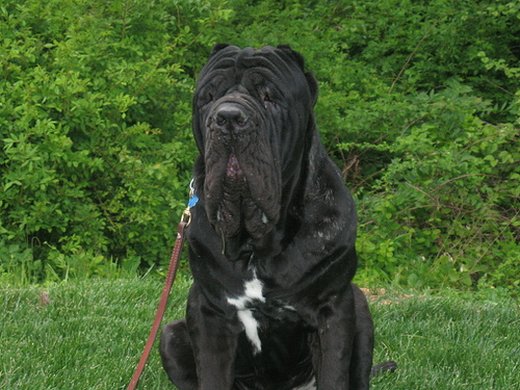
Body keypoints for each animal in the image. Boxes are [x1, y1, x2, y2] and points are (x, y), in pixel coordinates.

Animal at [160, 45, 376, 390]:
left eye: (268, 97)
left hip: (360, 307)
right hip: (169, 335)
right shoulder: (209, 313)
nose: (228, 117)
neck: (258, 244)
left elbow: (333, 375)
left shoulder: (333, 309)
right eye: (208, 97)